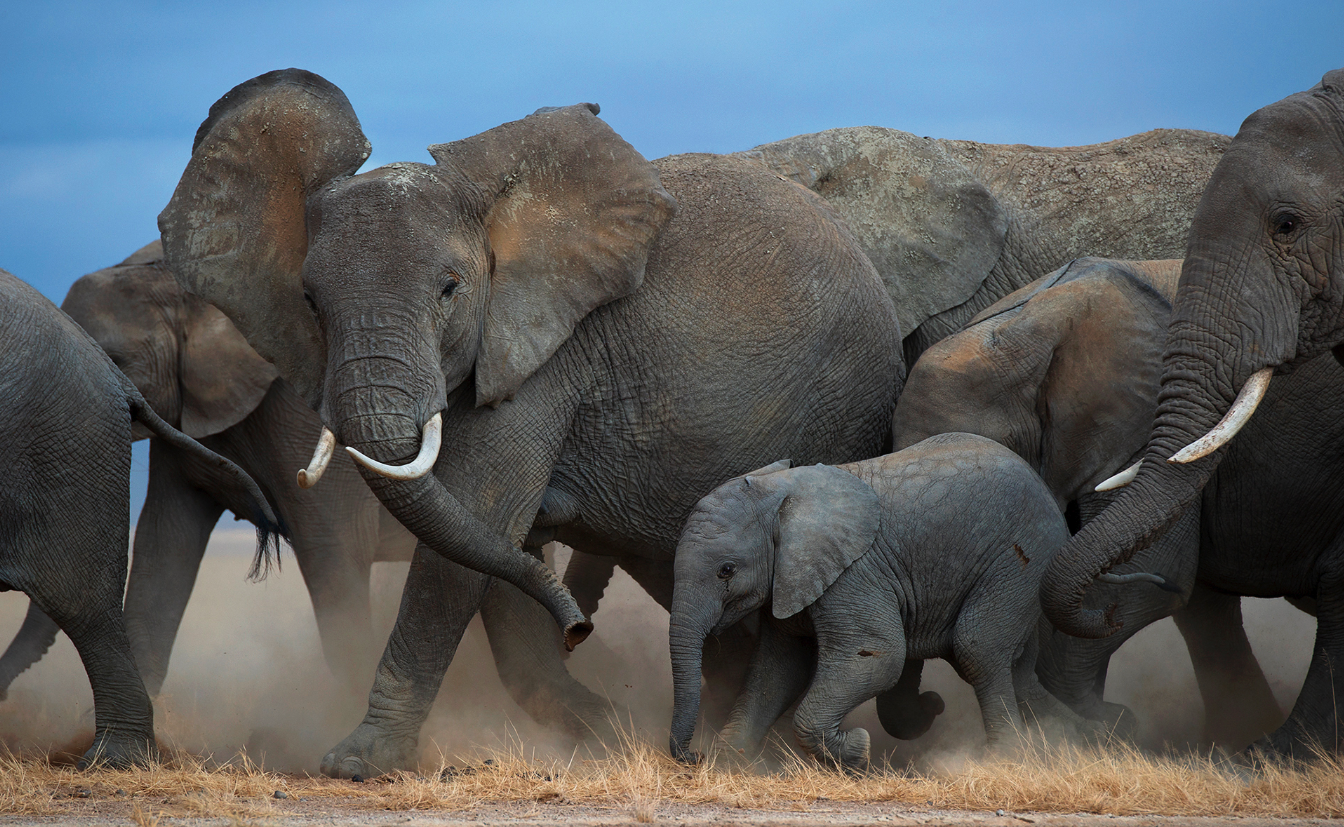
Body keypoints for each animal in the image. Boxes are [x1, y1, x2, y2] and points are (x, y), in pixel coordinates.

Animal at [157, 69, 905, 777]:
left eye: (451, 288)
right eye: (310, 300)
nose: (577, 630)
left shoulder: (546, 356)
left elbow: (481, 520)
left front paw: (356, 764)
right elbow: (493, 541)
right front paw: (608, 732)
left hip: (842, 400)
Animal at [667, 434, 1087, 770]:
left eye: (726, 570)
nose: (693, 756)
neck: (782, 492)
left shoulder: (855, 573)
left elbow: (877, 656)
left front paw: (858, 750)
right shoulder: (790, 578)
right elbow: (776, 670)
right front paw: (728, 763)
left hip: (1022, 561)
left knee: (978, 650)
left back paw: (1005, 760)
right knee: (1018, 669)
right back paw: (1071, 741)